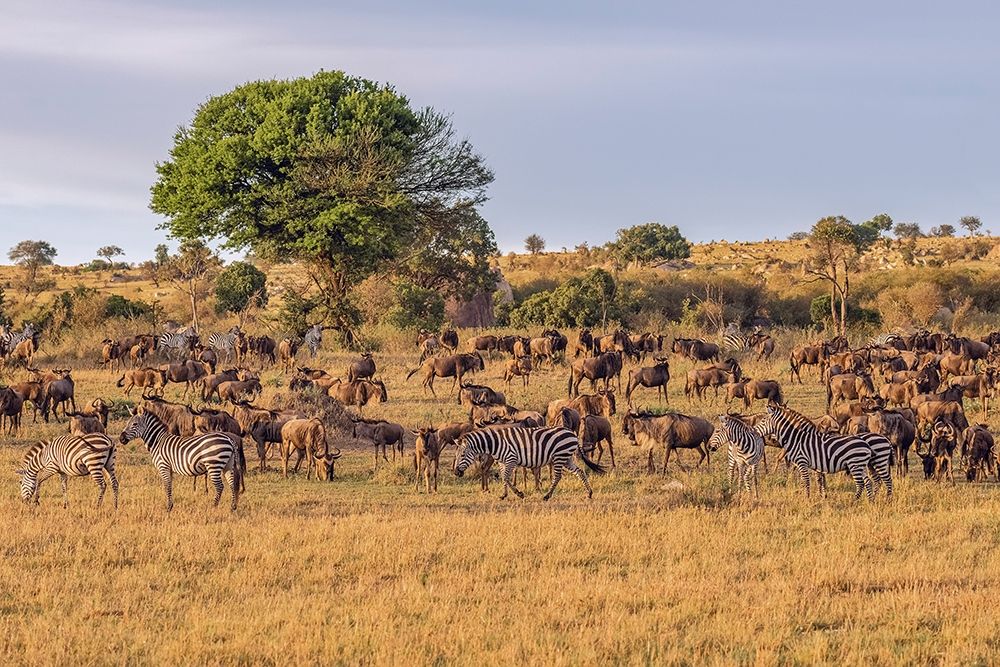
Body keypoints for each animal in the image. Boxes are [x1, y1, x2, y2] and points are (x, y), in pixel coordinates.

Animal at [454, 426, 605, 500]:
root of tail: (573, 433)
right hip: (567, 458)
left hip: (559, 456)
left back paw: (547, 496)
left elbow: (506, 478)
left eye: (462, 455)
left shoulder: (511, 459)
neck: (495, 444)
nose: (455, 472)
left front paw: (516, 494)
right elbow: (504, 478)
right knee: (580, 471)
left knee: (557, 477)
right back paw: (589, 493)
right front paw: (507, 494)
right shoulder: (503, 462)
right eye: (455, 455)